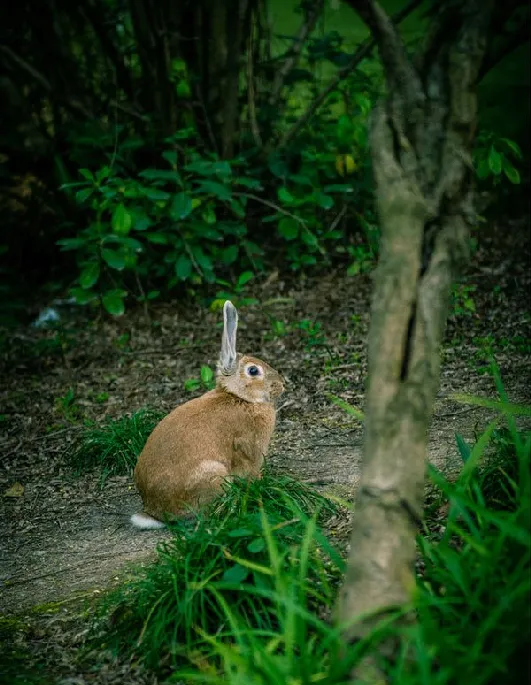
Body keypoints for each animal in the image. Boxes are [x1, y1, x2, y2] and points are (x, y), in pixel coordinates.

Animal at [130, 300, 284, 528]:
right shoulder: (249, 450)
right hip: (214, 474)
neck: (239, 397)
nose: (282, 385)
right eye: (253, 371)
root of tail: (156, 512)